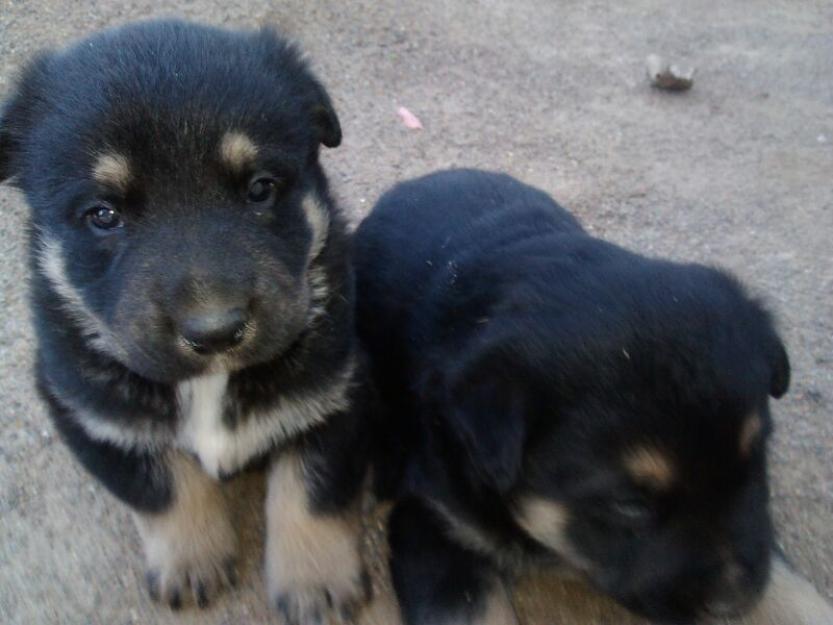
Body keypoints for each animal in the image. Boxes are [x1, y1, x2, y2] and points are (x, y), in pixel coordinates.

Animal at [0, 19, 370, 620]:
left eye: (261, 188)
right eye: (103, 214)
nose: (216, 331)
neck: (210, 384)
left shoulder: (337, 392)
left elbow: (311, 489)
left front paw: (316, 583)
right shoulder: (90, 412)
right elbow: (163, 487)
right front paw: (192, 561)